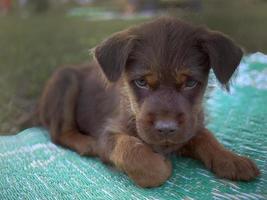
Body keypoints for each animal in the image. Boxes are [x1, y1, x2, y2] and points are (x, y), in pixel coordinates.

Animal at [37, 17, 260, 188]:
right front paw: (160, 164)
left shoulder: (190, 126)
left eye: (190, 83)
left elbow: (206, 137)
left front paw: (231, 159)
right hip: (64, 79)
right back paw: (87, 144)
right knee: (59, 133)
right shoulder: (108, 133)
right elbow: (133, 151)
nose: (166, 128)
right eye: (141, 82)